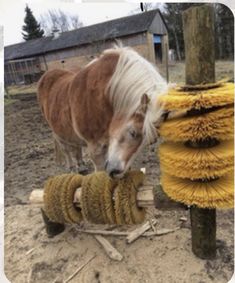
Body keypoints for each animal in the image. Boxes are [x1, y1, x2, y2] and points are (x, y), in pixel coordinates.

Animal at [37, 47, 168, 179]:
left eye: (152, 141)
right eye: (133, 132)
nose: (115, 171)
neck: (102, 97)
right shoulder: (96, 150)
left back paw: (81, 166)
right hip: (57, 133)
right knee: (66, 149)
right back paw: (72, 169)